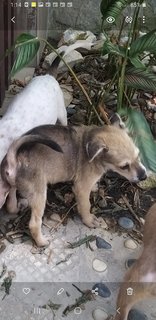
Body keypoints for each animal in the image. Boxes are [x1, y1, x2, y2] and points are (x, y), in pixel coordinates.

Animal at [0, 117, 147, 245]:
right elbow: (86, 205)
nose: (144, 176)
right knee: (34, 224)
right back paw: (42, 242)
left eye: (139, 155)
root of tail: (14, 158)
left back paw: (18, 206)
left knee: (11, 204)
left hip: (12, 186)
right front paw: (89, 220)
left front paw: (94, 187)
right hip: (39, 195)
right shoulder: (81, 188)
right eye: (124, 166)